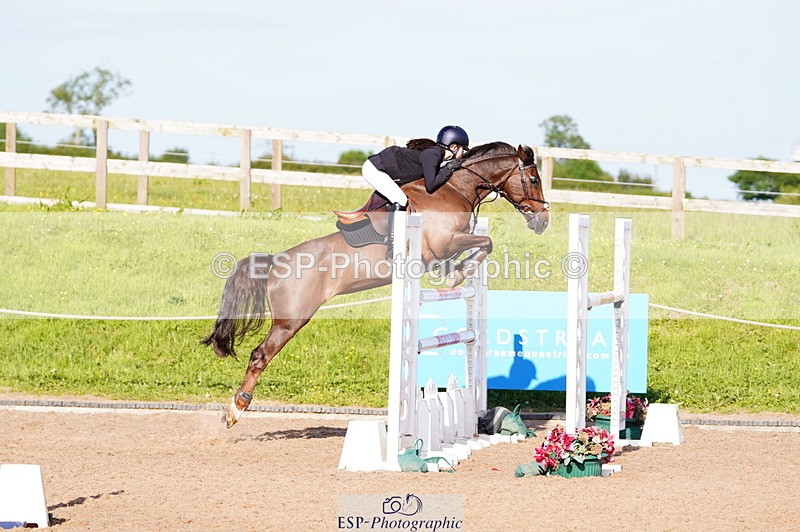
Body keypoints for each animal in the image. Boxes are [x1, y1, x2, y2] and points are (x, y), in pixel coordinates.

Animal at [203, 141, 550, 427]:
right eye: (534, 180)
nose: (542, 221)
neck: (455, 188)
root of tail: (275, 261)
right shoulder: (442, 243)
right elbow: (485, 242)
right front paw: (458, 273)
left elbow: (480, 245)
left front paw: (456, 271)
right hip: (290, 320)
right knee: (260, 355)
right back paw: (235, 410)